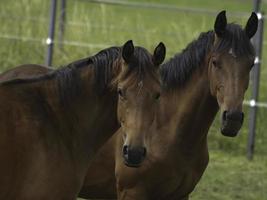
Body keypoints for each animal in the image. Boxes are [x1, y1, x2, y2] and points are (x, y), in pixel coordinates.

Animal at [78, 11, 258, 200]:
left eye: (251, 64)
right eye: (216, 62)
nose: (233, 119)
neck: (164, 127)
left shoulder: (182, 195)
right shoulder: (131, 192)